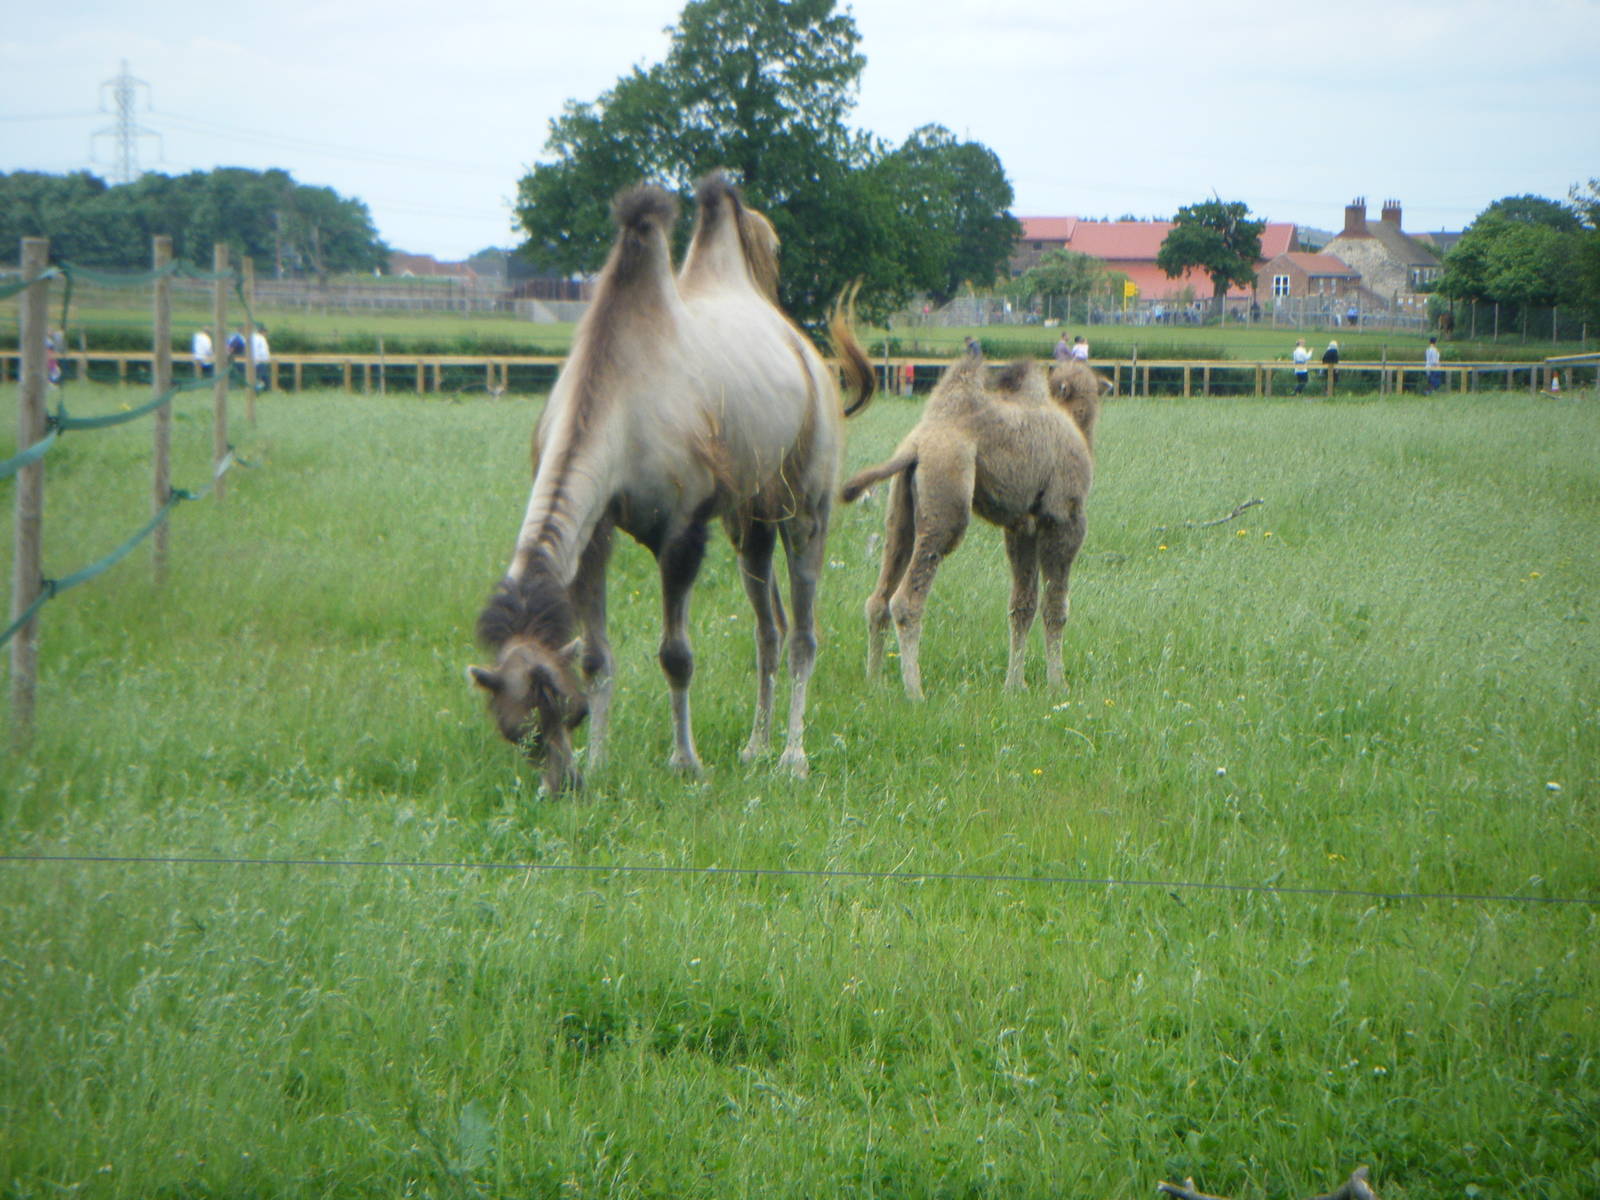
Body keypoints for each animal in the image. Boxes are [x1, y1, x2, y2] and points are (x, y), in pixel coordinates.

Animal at [469, 172, 874, 792]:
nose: (563, 786)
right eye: (516, 731)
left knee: (804, 631)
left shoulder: (682, 530)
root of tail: (803, 348)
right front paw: (601, 761)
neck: (615, 402)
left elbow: (676, 655)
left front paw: (686, 761)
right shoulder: (595, 531)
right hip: (749, 520)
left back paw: (792, 757)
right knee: (768, 629)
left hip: (807, 499)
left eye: (571, 714)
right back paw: (755, 746)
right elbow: (596, 656)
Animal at [841, 356, 1100, 700]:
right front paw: (1058, 685)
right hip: (946, 497)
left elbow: (1022, 605)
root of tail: (916, 445)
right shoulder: (1063, 517)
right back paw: (915, 692)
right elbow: (1055, 607)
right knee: (906, 600)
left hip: (900, 509)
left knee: (878, 598)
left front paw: (1014, 686)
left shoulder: (1021, 527)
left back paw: (875, 682)